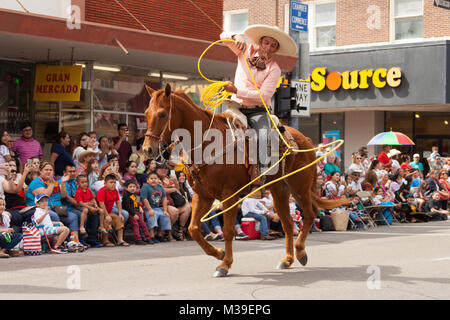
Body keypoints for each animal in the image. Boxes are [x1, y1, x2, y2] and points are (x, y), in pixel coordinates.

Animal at [142, 84, 346, 276]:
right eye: (146, 113)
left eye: (162, 114)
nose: (147, 149)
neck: (208, 143)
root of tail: (305, 139)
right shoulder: (202, 195)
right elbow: (193, 228)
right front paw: (219, 253)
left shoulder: (229, 195)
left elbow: (228, 231)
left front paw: (224, 264)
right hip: (280, 190)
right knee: (288, 224)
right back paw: (287, 259)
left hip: (299, 187)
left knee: (310, 214)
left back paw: (301, 252)